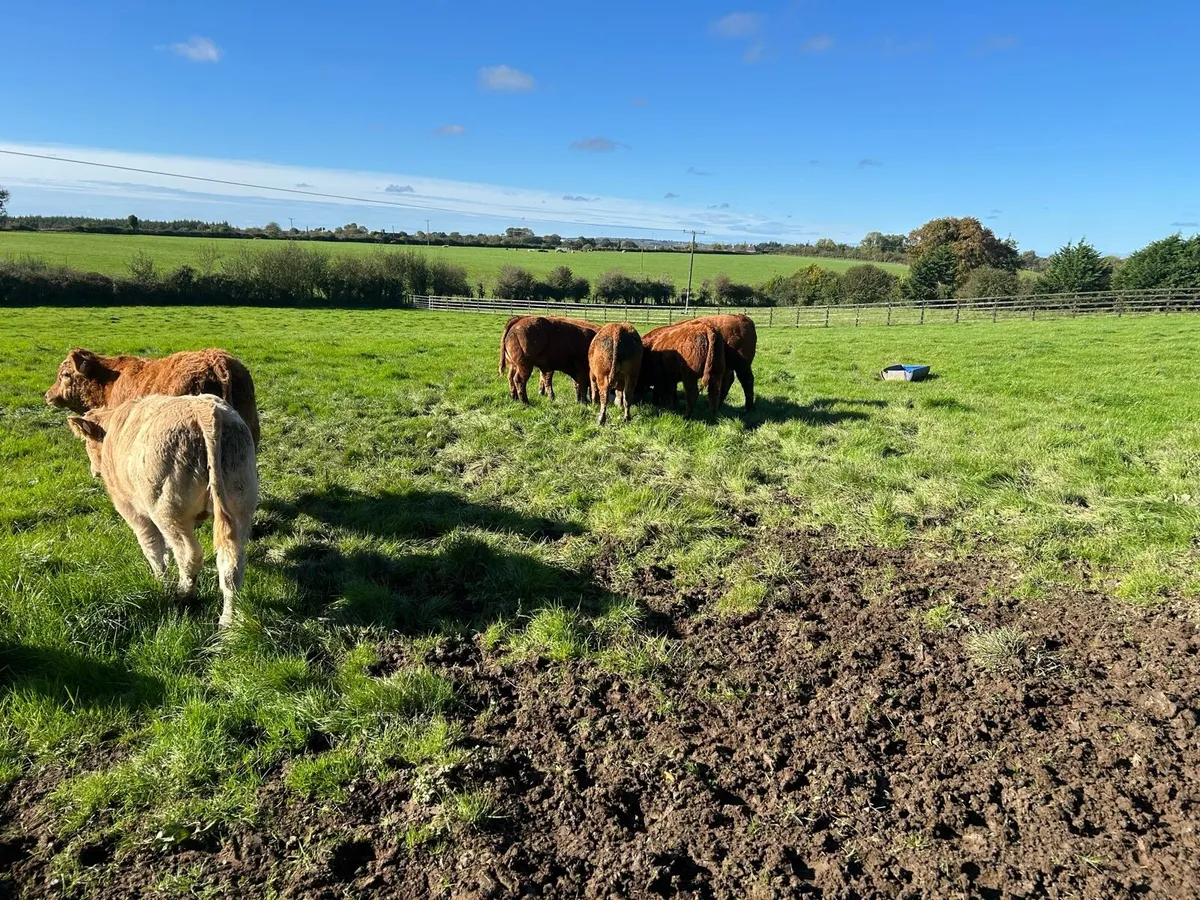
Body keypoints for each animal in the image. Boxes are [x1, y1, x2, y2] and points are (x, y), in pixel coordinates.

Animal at [67, 395, 259, 629]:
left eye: (87, 443)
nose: (93, 471)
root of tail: (204, 410)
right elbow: (165, 549)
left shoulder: (133, 511)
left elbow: (152, 547)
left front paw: (160, 582)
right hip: (240, 504)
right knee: (232, 564)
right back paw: (227, 621)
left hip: (167, 513)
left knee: (189, 554)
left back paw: (183, 595)